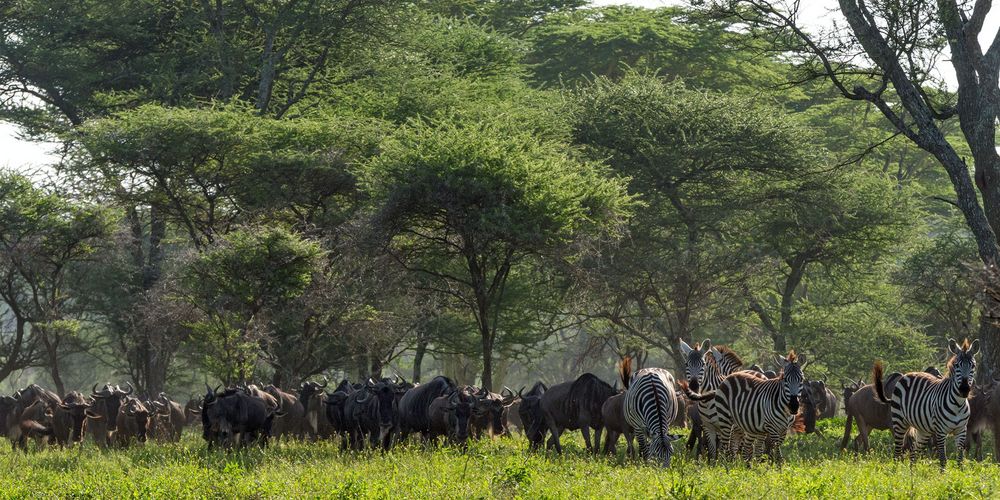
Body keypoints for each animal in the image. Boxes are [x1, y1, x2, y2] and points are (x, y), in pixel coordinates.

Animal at [872, 336, 980, 468]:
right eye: (956, 365)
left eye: (973, 365)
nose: (964, 390)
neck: (958, 405)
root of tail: (907, 374)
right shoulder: (940, 432)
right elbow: (943, 459)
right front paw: (943, 474)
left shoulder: (961, 430)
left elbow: (960, 459)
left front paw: (959, 472)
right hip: (899, 422)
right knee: (897, 453)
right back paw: (895, 472)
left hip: (923, 430)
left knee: (913, 454)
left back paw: (911, 474)